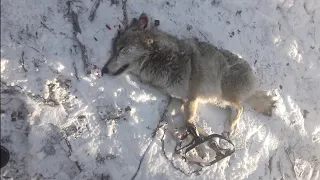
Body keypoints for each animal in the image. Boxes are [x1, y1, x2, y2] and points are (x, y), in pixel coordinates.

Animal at [101, 13, 276, 139]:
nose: (104, 70)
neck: (161, 60)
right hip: (219, 100)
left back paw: (229, 127)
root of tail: (252, 82)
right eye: (114, 50)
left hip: (223, 96)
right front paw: (177, 132)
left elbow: (188, 118)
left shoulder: (192, 96)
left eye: (121, 49)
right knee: (239, 107)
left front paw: (190, 131)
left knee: (241, 108)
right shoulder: (178, 98)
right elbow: (171, 116)